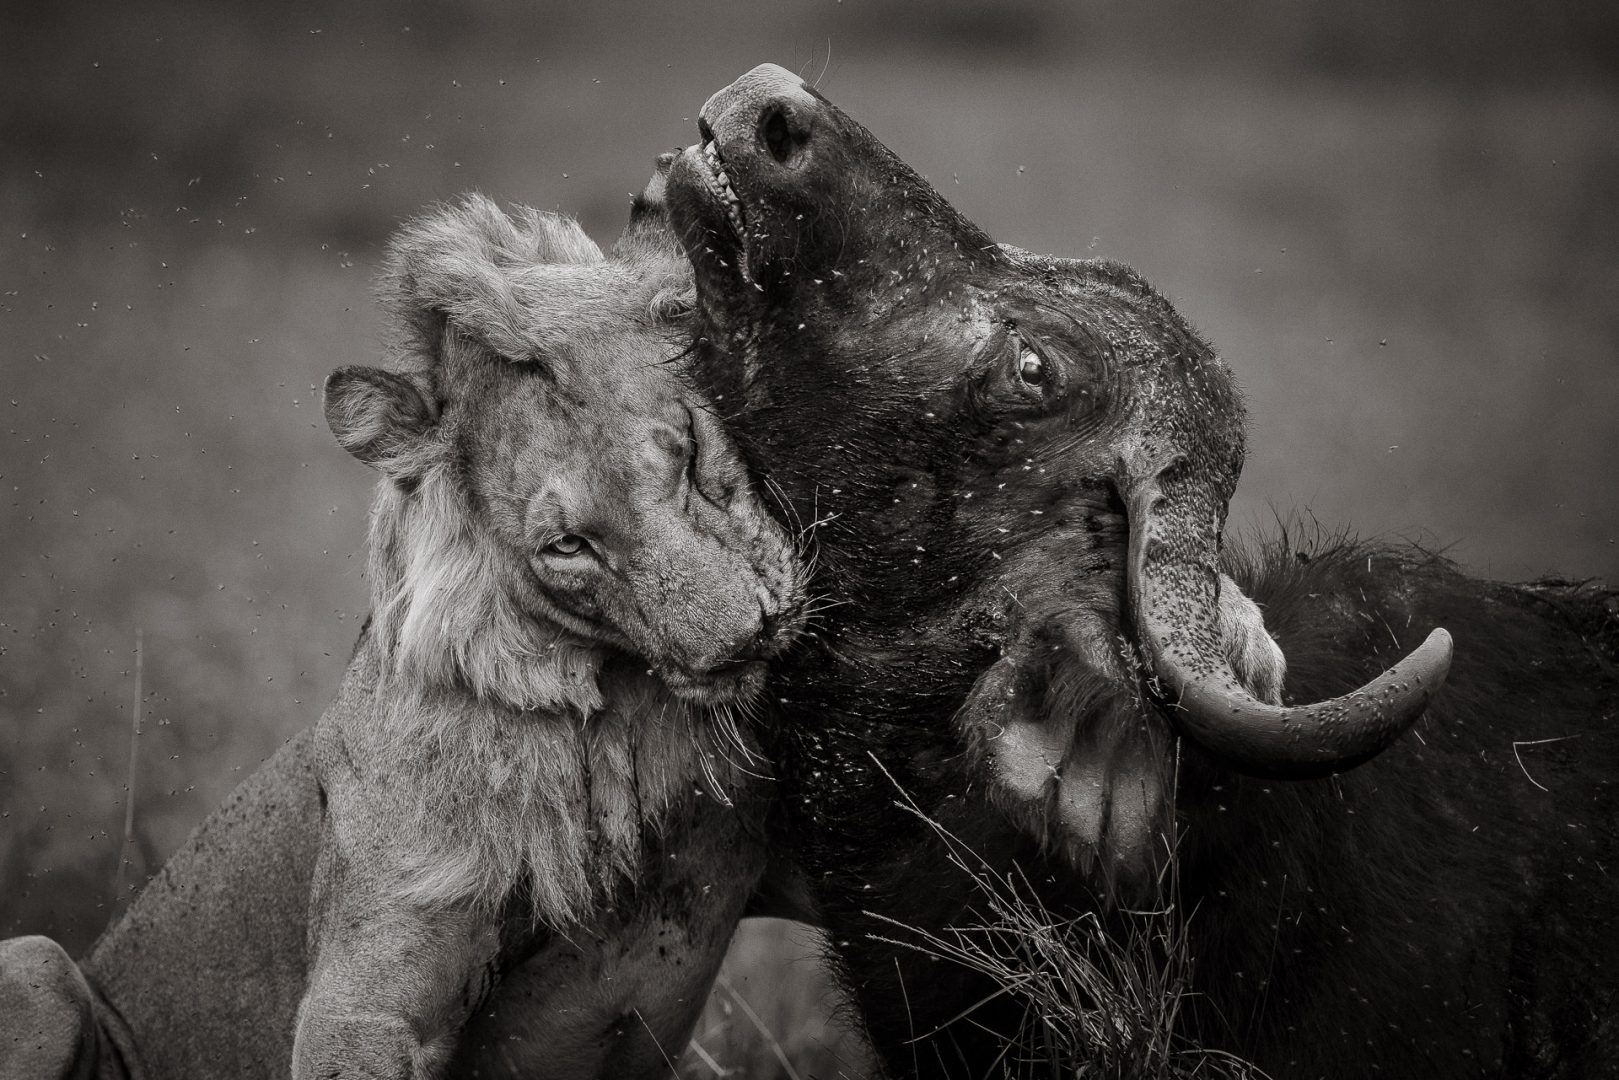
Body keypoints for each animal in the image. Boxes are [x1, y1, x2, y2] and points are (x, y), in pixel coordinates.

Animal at [0, 163, 810, 1080]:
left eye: (688, 452)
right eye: (567, 546)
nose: (743, 640)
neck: (617, 733)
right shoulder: (366, 996)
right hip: (35, 961)